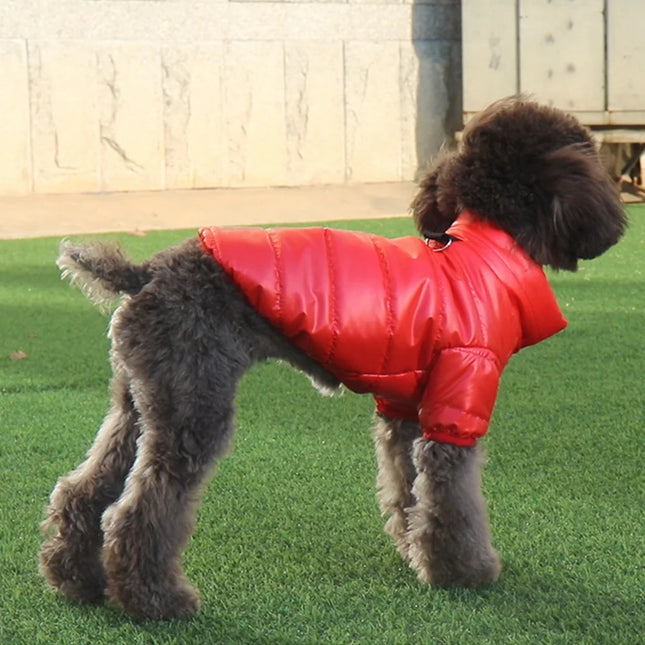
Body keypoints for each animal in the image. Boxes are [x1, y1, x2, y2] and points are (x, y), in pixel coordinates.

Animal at [37, 97, 628, 620]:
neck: (479, 252)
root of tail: (144, 274)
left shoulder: (404, 409)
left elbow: (407, 488)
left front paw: (415, 551)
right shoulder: (456, 404)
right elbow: (453, 500)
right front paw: (465, 572)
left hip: (140, 402)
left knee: (83, 490)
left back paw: (78, 581)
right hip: (194, 405)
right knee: (137, 511)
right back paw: (157, 602)